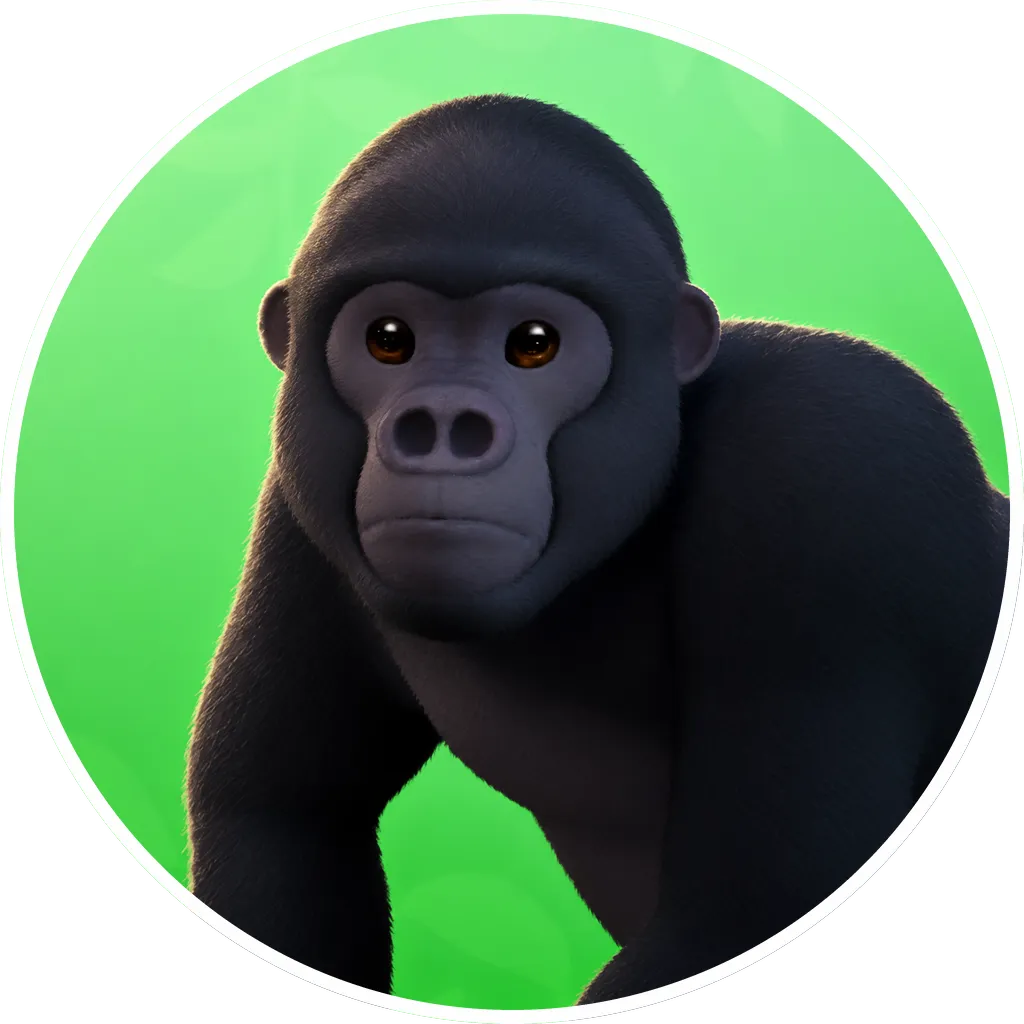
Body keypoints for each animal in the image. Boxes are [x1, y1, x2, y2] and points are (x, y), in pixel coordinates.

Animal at [185, 94, 1011, 1006]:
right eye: (390, 338)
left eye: (534, 342)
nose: (442, 425)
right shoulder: (301, 515)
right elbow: (282, 819)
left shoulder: (843, 459)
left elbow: (742, 914)